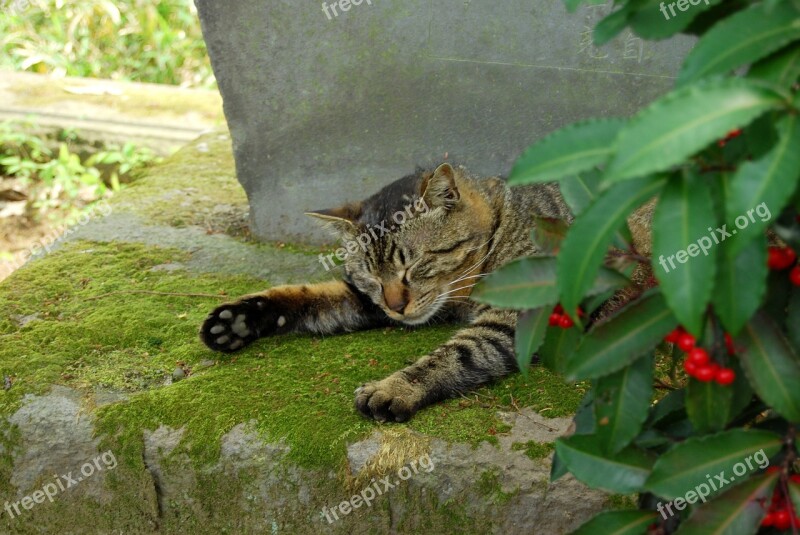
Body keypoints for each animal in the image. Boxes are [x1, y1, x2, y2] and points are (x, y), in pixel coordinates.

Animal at [203, 163, 572, 422]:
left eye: (412, 265)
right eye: (371, 276)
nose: (396, 307)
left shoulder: (521, 312)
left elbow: (459, 352)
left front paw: (394, 387)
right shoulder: (365, 300)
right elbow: (310, 295)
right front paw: (238, 320)